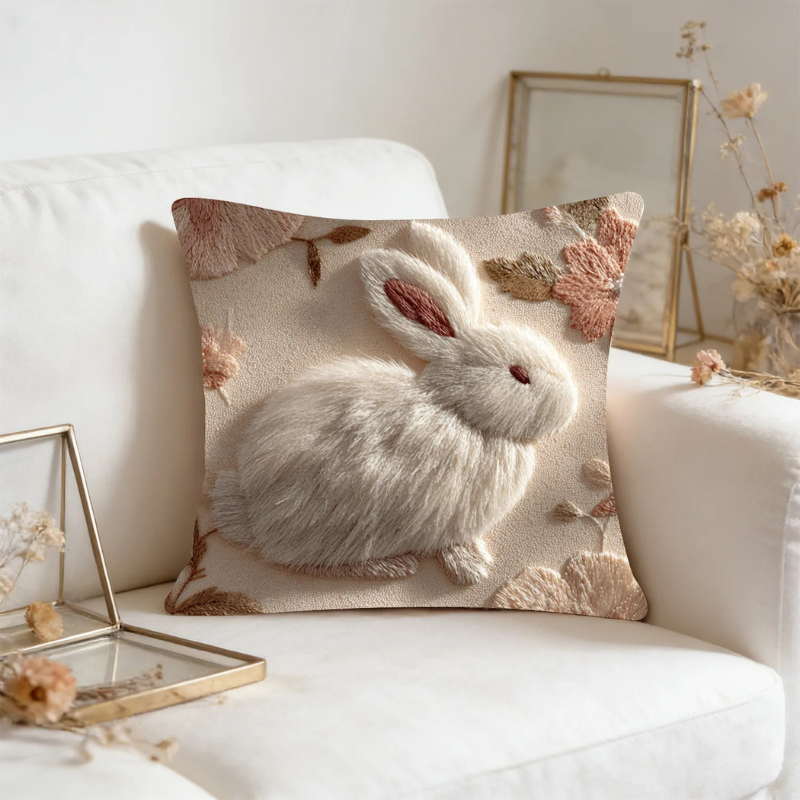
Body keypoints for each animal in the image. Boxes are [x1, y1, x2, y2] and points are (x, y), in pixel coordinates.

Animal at [212, 221, 578, 585]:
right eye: (519, 374)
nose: (571, 404)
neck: (458, 410)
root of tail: (253, 518)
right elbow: (452, 547)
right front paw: (473, 569)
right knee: (312, 562)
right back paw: (394, 566)